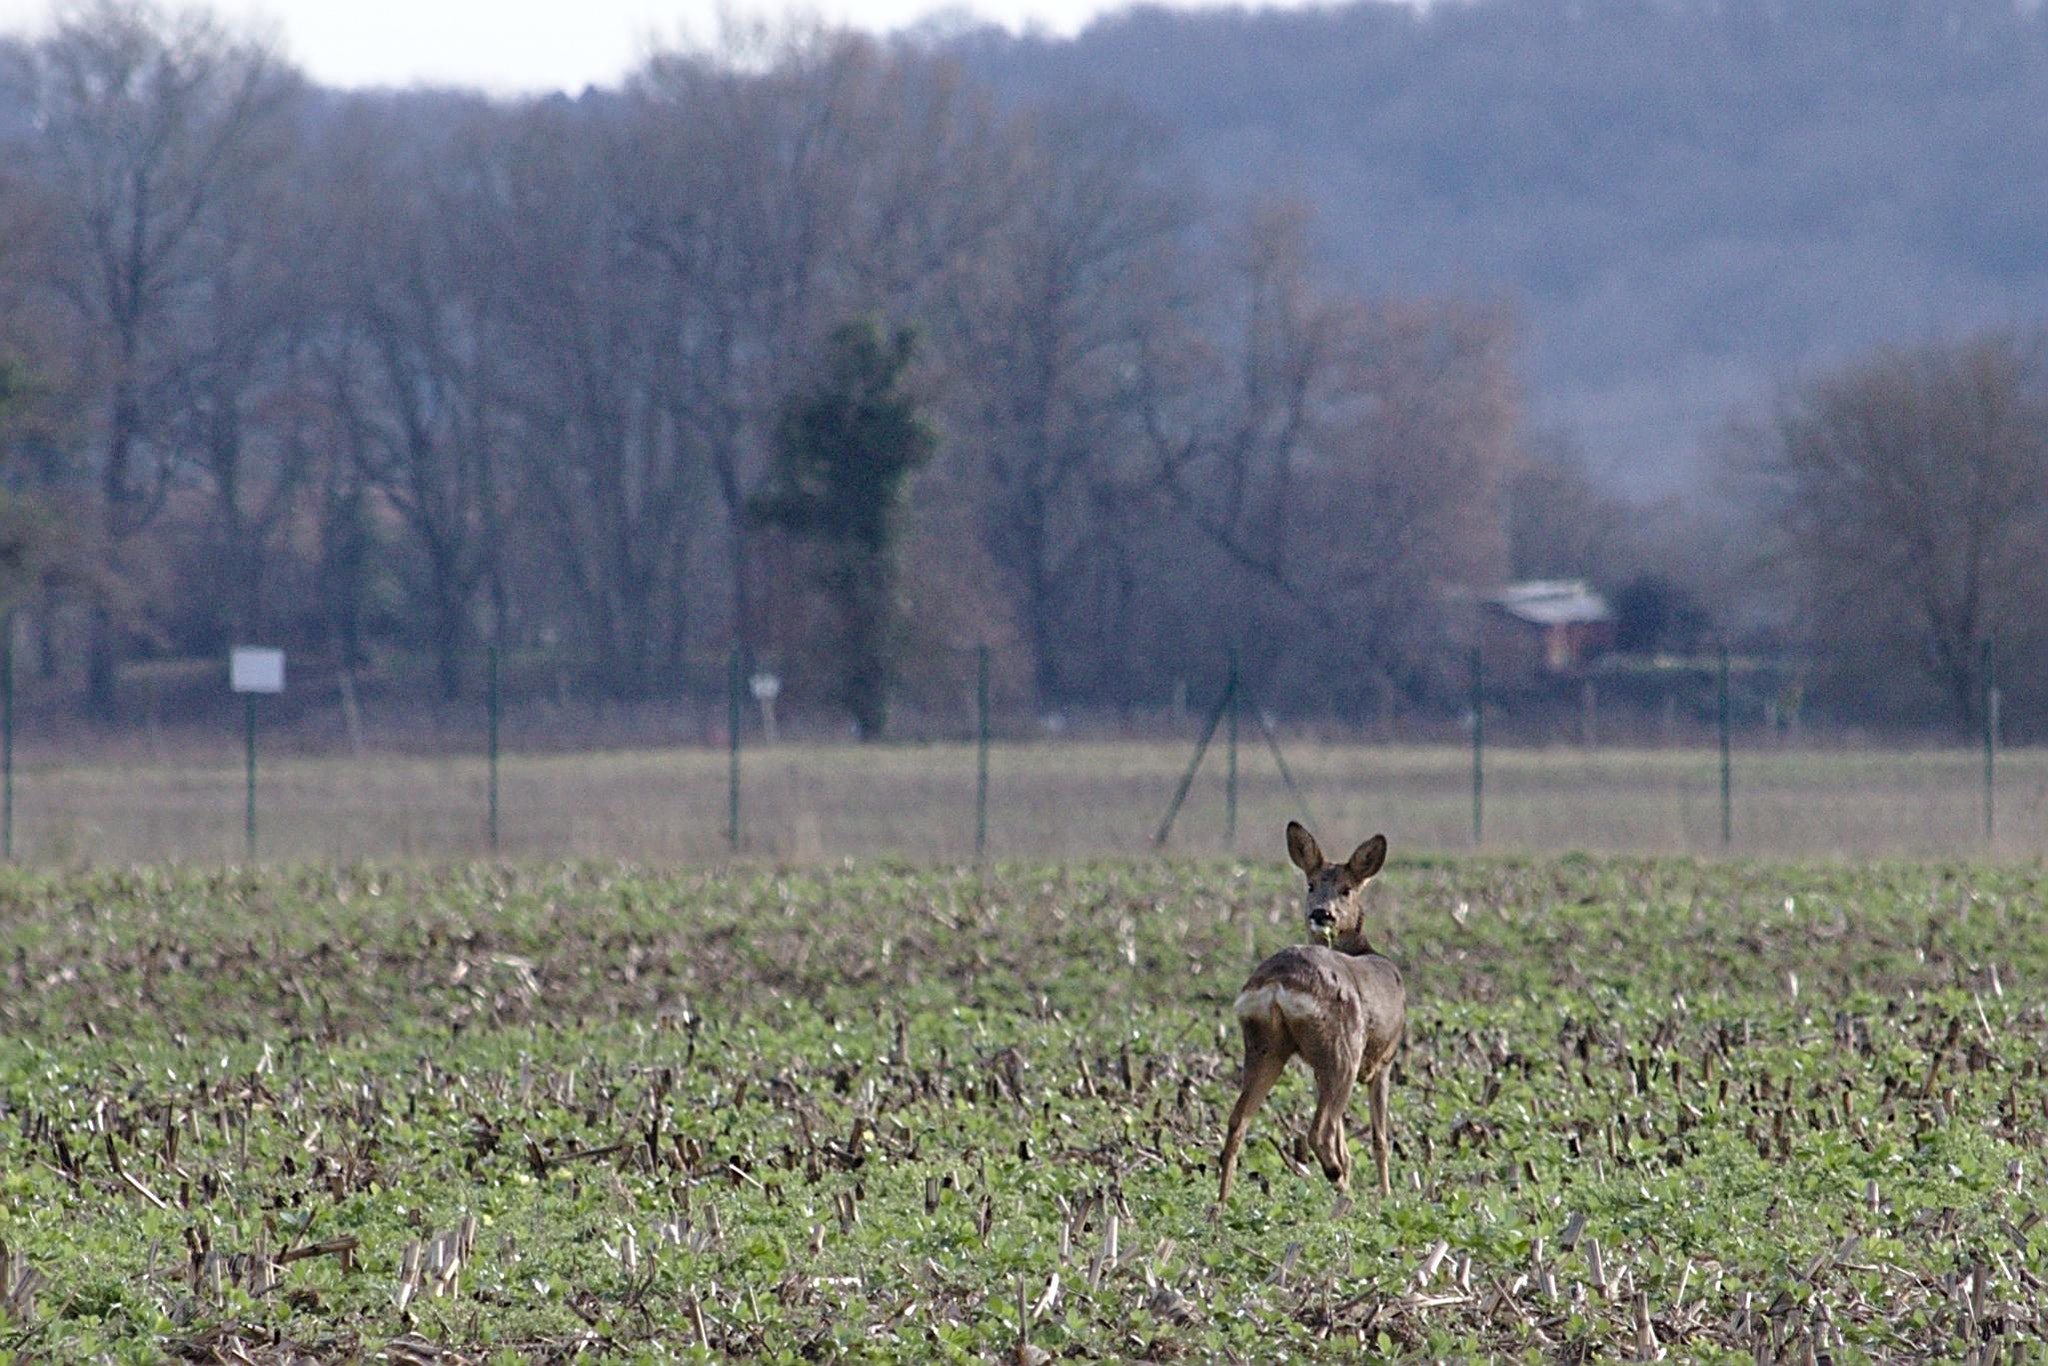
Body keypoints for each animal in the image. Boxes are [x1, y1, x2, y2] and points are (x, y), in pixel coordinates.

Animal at [1220, 823, 1400, 1196]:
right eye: (1311, 884)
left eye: (1346, 889)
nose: (1321, 913)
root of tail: (1277, 983)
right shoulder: (1384, 1060)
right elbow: (1379, 1138)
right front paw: (1387, 1196)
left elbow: (1348, 1140)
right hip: (1343, 1048)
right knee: (1320, 1131)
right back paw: (1340, 1186)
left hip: (1265, 1045)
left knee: (1237, 1122)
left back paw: (1221, 1204)